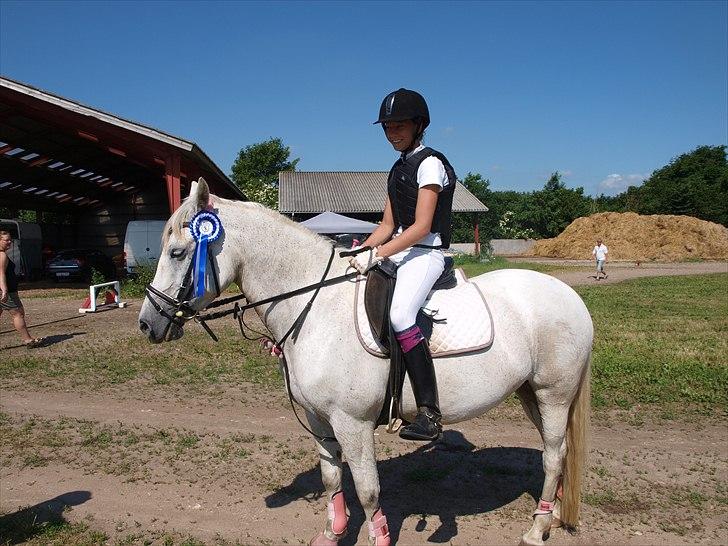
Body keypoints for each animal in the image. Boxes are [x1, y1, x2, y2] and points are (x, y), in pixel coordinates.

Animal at [138, 180, 592, 544]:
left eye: (177, 252)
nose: (147, 323)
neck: (314, 304)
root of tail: (570, 296)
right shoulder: (319, 418)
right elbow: (332, 478)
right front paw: (332, 533)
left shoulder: (353, 423)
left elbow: (369, 490)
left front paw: (376, 537)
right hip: (530, 393)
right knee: (557, 453)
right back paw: (550, 518)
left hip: (553, 395)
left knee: (554, 455)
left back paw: (536, 529)